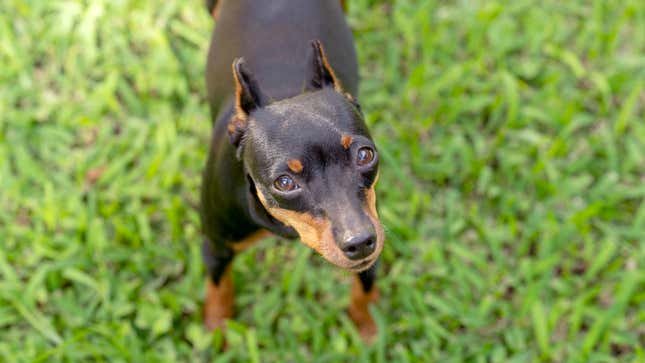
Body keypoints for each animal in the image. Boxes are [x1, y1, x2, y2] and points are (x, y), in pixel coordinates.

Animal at [201, 0, 382, 342]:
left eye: (365, 155)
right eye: (284, 182)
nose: (360, 242)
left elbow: (365, 288)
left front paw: (366, 328)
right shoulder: (216, 245)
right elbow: (219, 290)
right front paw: (217, 332)